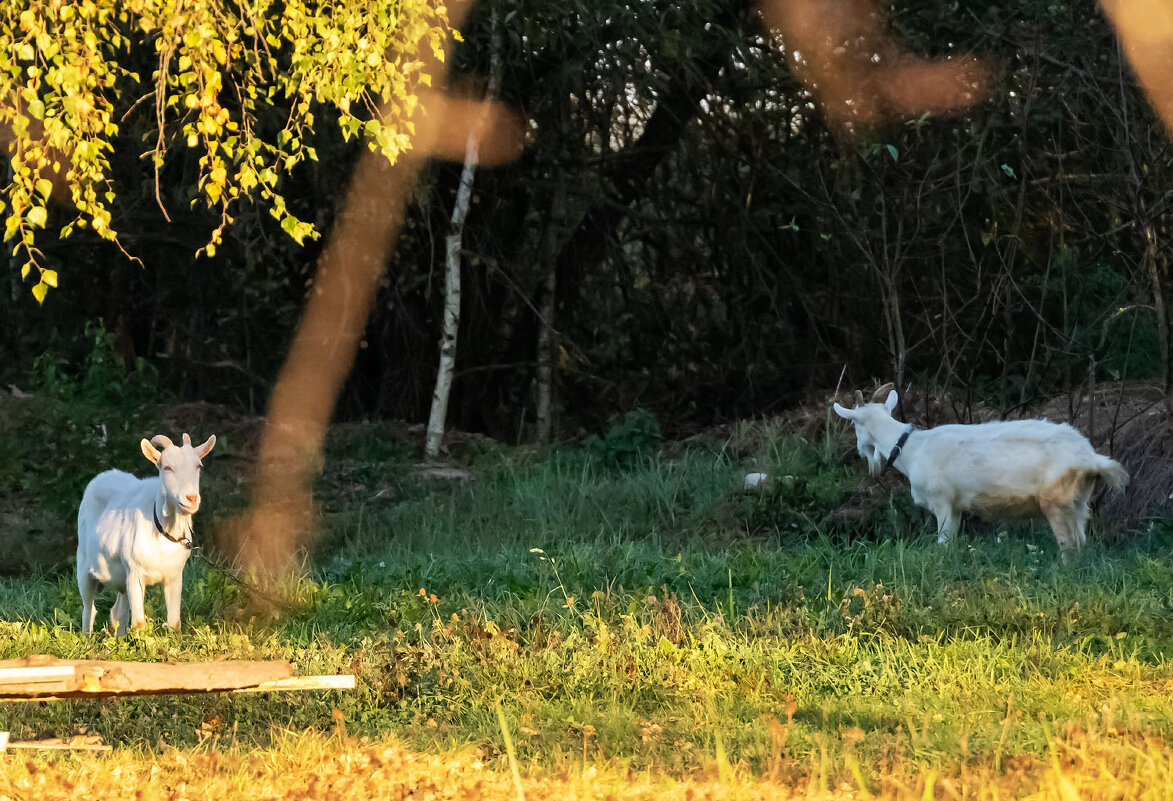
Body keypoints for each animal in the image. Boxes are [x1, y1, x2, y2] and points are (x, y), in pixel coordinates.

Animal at [76, 431, 217, 633]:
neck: (162, 531)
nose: (191, 498)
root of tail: (103, 476)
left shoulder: (174, 576)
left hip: (121, 580)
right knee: (88, 609)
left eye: (198, 466)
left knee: (117, 612)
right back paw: (86, 636)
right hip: (84, 568)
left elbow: (174, 622)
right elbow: (139, 623)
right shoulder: (135, 574)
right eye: (167, 467)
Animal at [835, 384, 1126, 560]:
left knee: (1069, 546)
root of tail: (1089, 457)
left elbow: (943, 543)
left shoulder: (942, 501)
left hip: (1057, 500)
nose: (859, 451)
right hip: (1079, 501)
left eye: (853, 424)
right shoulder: (955, 507)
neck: (912, 448)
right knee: (1082, 541)